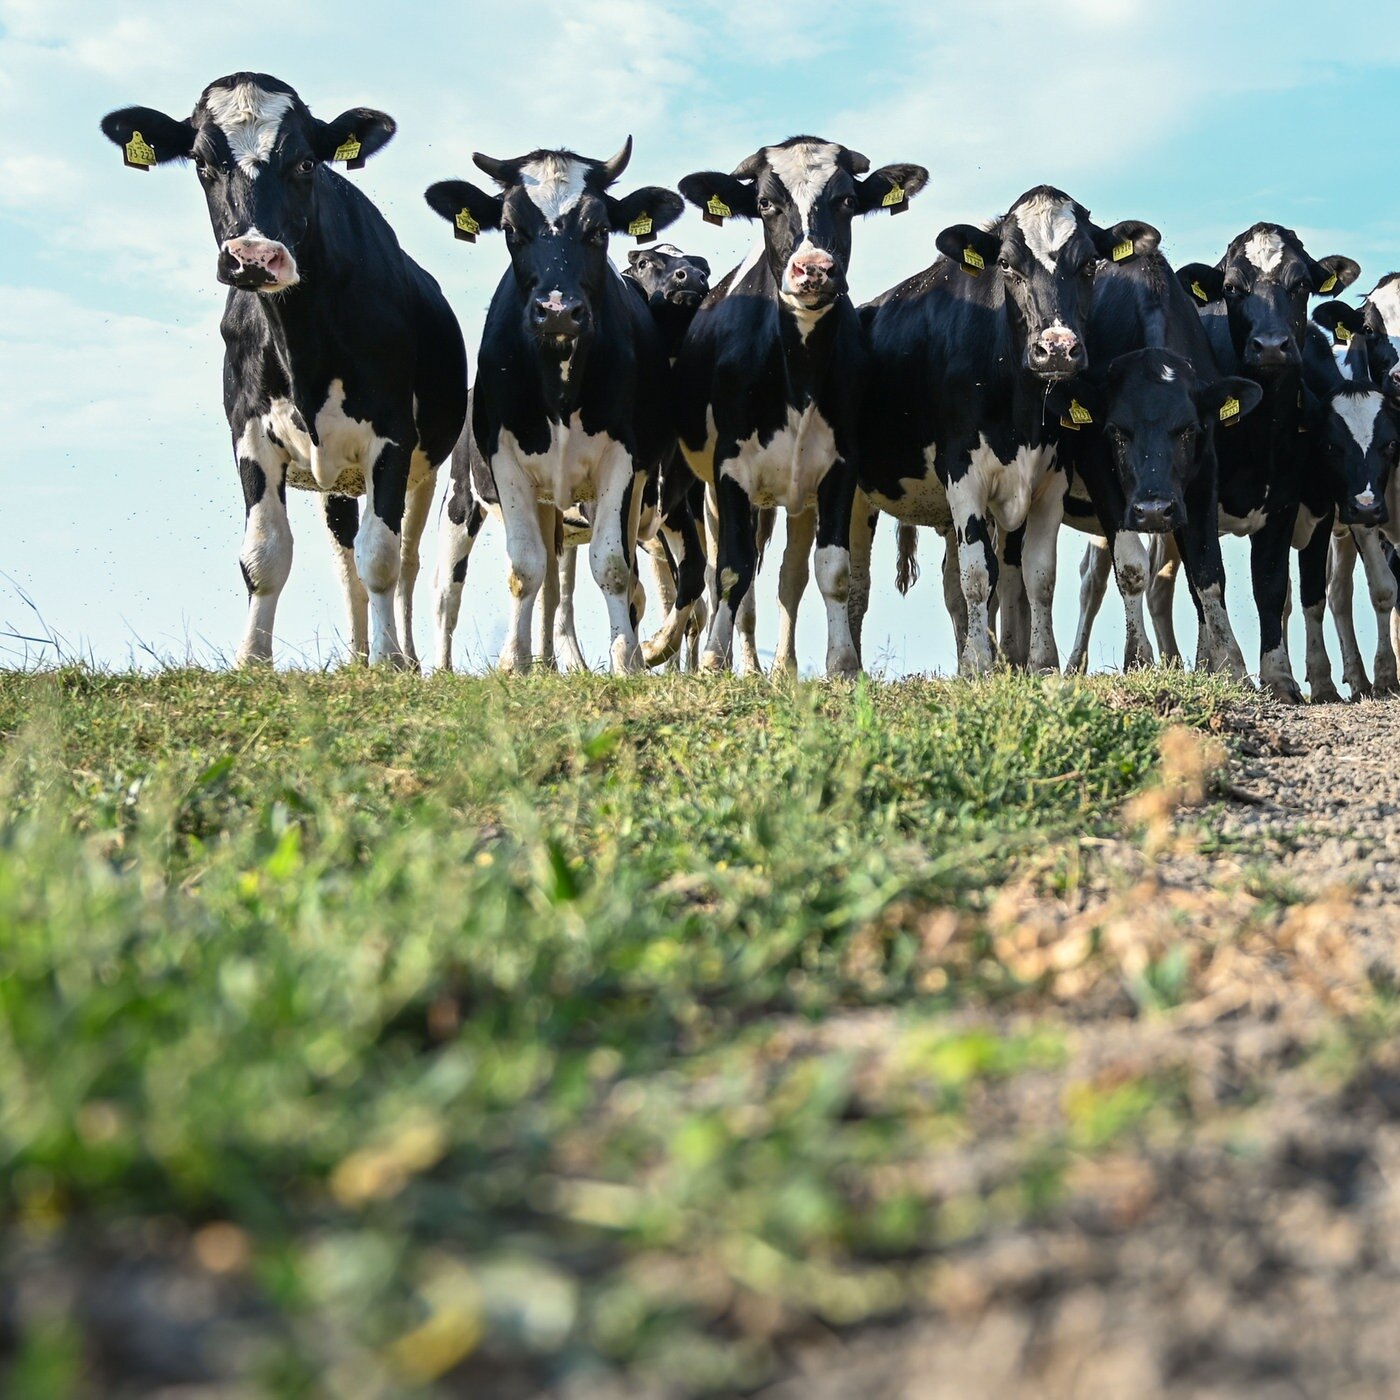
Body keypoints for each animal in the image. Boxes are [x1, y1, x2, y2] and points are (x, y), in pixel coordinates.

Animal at [101, 73, 470, 669]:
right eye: (202, 162)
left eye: (304, 162)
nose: (253, 256)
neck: (303, 343)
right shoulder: (249, 431)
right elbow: (265, 554)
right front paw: (253, 659)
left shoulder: (393, 437)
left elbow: (382, 557)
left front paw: (391, 661)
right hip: (335, 481)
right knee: (346, 562)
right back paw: (356, 656)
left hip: (425, 467)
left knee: (407, 560)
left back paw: (406, 657)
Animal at [422, 139, 680, 674]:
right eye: (510, 229)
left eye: (599, 229)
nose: (558, 311)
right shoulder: (505, 461)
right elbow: (524, 567)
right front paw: (511, 663)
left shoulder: (622, 462)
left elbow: (613, 566)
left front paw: (626, 659)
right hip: (461, 498)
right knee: (448, 591)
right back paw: (447, 667)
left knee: (562, 586)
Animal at [669, 137, 924, 677]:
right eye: (766, 203)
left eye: (846, 200)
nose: (814, 270)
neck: (799, 367)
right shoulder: (729, 471)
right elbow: (731, 570)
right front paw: (714, 660)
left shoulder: (839, 468)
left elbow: (831, 570)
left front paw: (843, 663)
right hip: (717, 491)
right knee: (727, 573)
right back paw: (736, 659)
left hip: (796, 494)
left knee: (789, 575)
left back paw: (782, 667)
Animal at [862, 186, 1159, 672]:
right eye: (1005, 263)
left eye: (1089, 263)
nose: (1056, 349)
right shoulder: (962, 474)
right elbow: (978, 575)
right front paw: (982, 664)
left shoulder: (1050, 481)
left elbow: (1038, 575)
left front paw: (1040, 662)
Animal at [1170, 225, 1355, 700]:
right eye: (1233, 288)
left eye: (1301, 284)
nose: (1271, 346)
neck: (1260, 428)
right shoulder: (1193, 499)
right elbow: (1207, 577)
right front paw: (1229, 669)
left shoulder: (1285, 504)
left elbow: (1271, 586)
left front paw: (1279, 676)